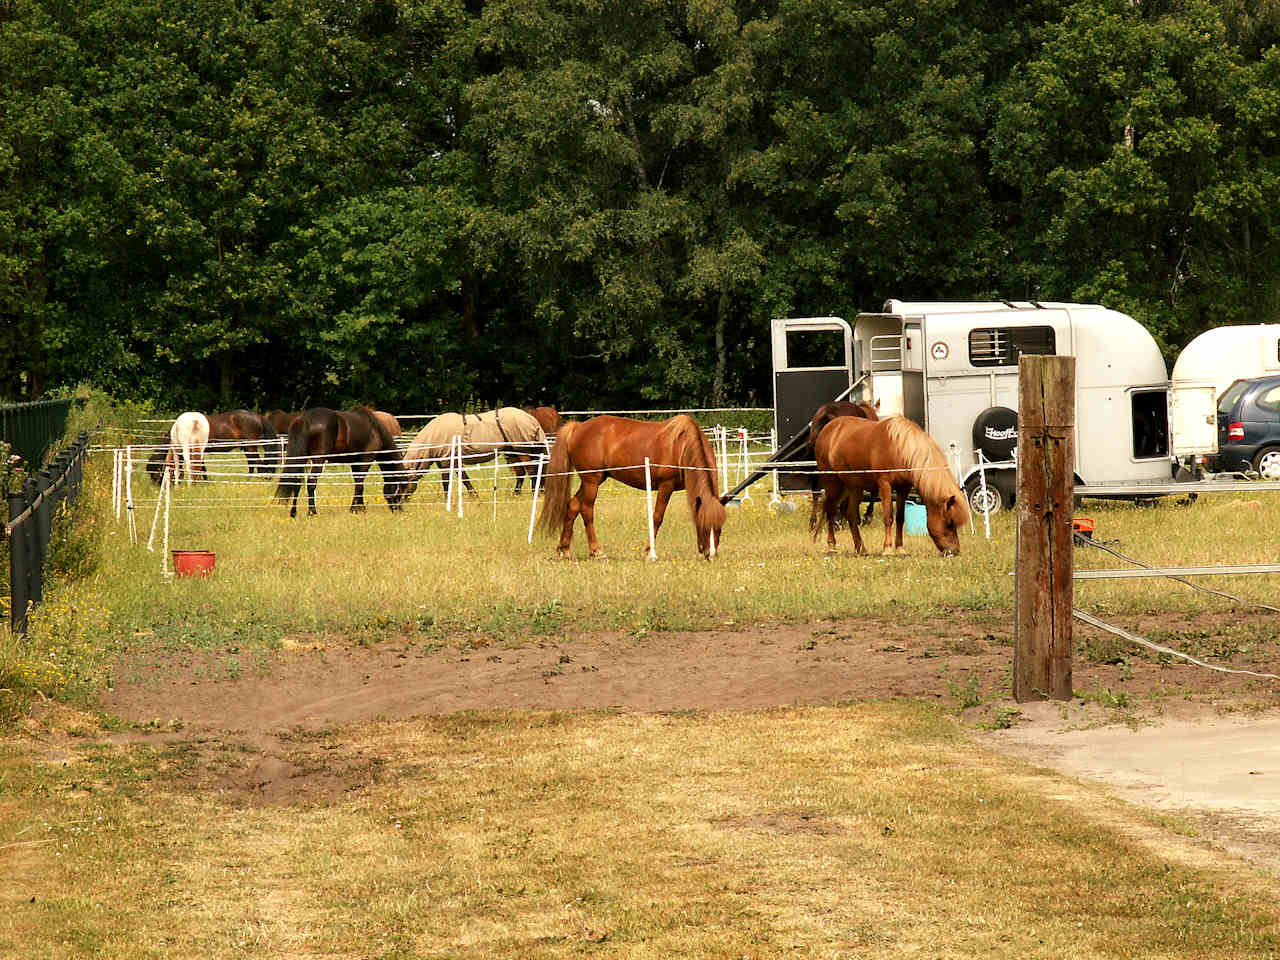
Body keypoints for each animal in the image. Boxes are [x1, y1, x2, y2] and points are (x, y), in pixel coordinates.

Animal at [271, 409, 404, 522]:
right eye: (401, 489)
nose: (398, 510)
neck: (375, 429)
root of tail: (304, 419)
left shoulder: (355, 463)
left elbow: (358, 483)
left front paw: (360, 508)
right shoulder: (366, 459)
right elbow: (360, 485)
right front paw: (355, 509)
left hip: (301, 459)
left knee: (296, 482)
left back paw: (293, 513)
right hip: (318, 460)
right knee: (311, 483)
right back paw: (312, 512)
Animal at [401, 407, 547, 499]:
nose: (399, 501)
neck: (434, 436)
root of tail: (531, 419)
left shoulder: (446, 461)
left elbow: (446, 481)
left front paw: (446, 499)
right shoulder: (453, 461)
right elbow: (464, 478)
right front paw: (474, 495)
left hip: (522, 450)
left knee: (532, 471)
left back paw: (534, 493)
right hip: (512, 452)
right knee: (521, 473)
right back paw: (516, 493)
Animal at [535, 414, 727, 563]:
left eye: (719, 528)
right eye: (704, 526)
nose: (711, 554)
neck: (682, 445)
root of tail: (577, 427)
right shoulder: (666, 486)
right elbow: (657, 517)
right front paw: (650, 552)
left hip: (594, 480)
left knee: (573, 506)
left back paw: (564, 550)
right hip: (591, 481)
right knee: (587, 511)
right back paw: (596, 551)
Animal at [814, 417, 962, 560]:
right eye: (949, 523)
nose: (955, 551)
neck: (899, 449)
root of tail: (827, 429)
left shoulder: (903, 488)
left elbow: (900, 518)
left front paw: (901, 550)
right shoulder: (885, 485)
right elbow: (888, 517)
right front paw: (887, 549)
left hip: (854, 487)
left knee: (850, 514)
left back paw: (861, 549)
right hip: (832, 483)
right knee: (831, 512)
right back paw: (832, 547)